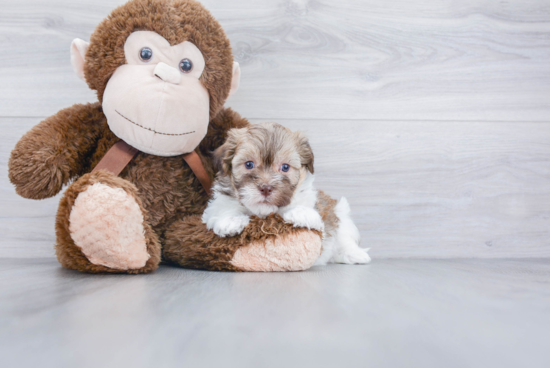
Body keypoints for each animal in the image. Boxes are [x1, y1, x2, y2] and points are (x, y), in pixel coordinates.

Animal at [202, 123, 370, 264]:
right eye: (249, 164)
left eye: (285, 167)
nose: (266, 188)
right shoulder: (216, 205)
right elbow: (221, 210)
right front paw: (230, 220)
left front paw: (300, 212)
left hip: (340, 213)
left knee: (343, 236)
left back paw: (355, 254)